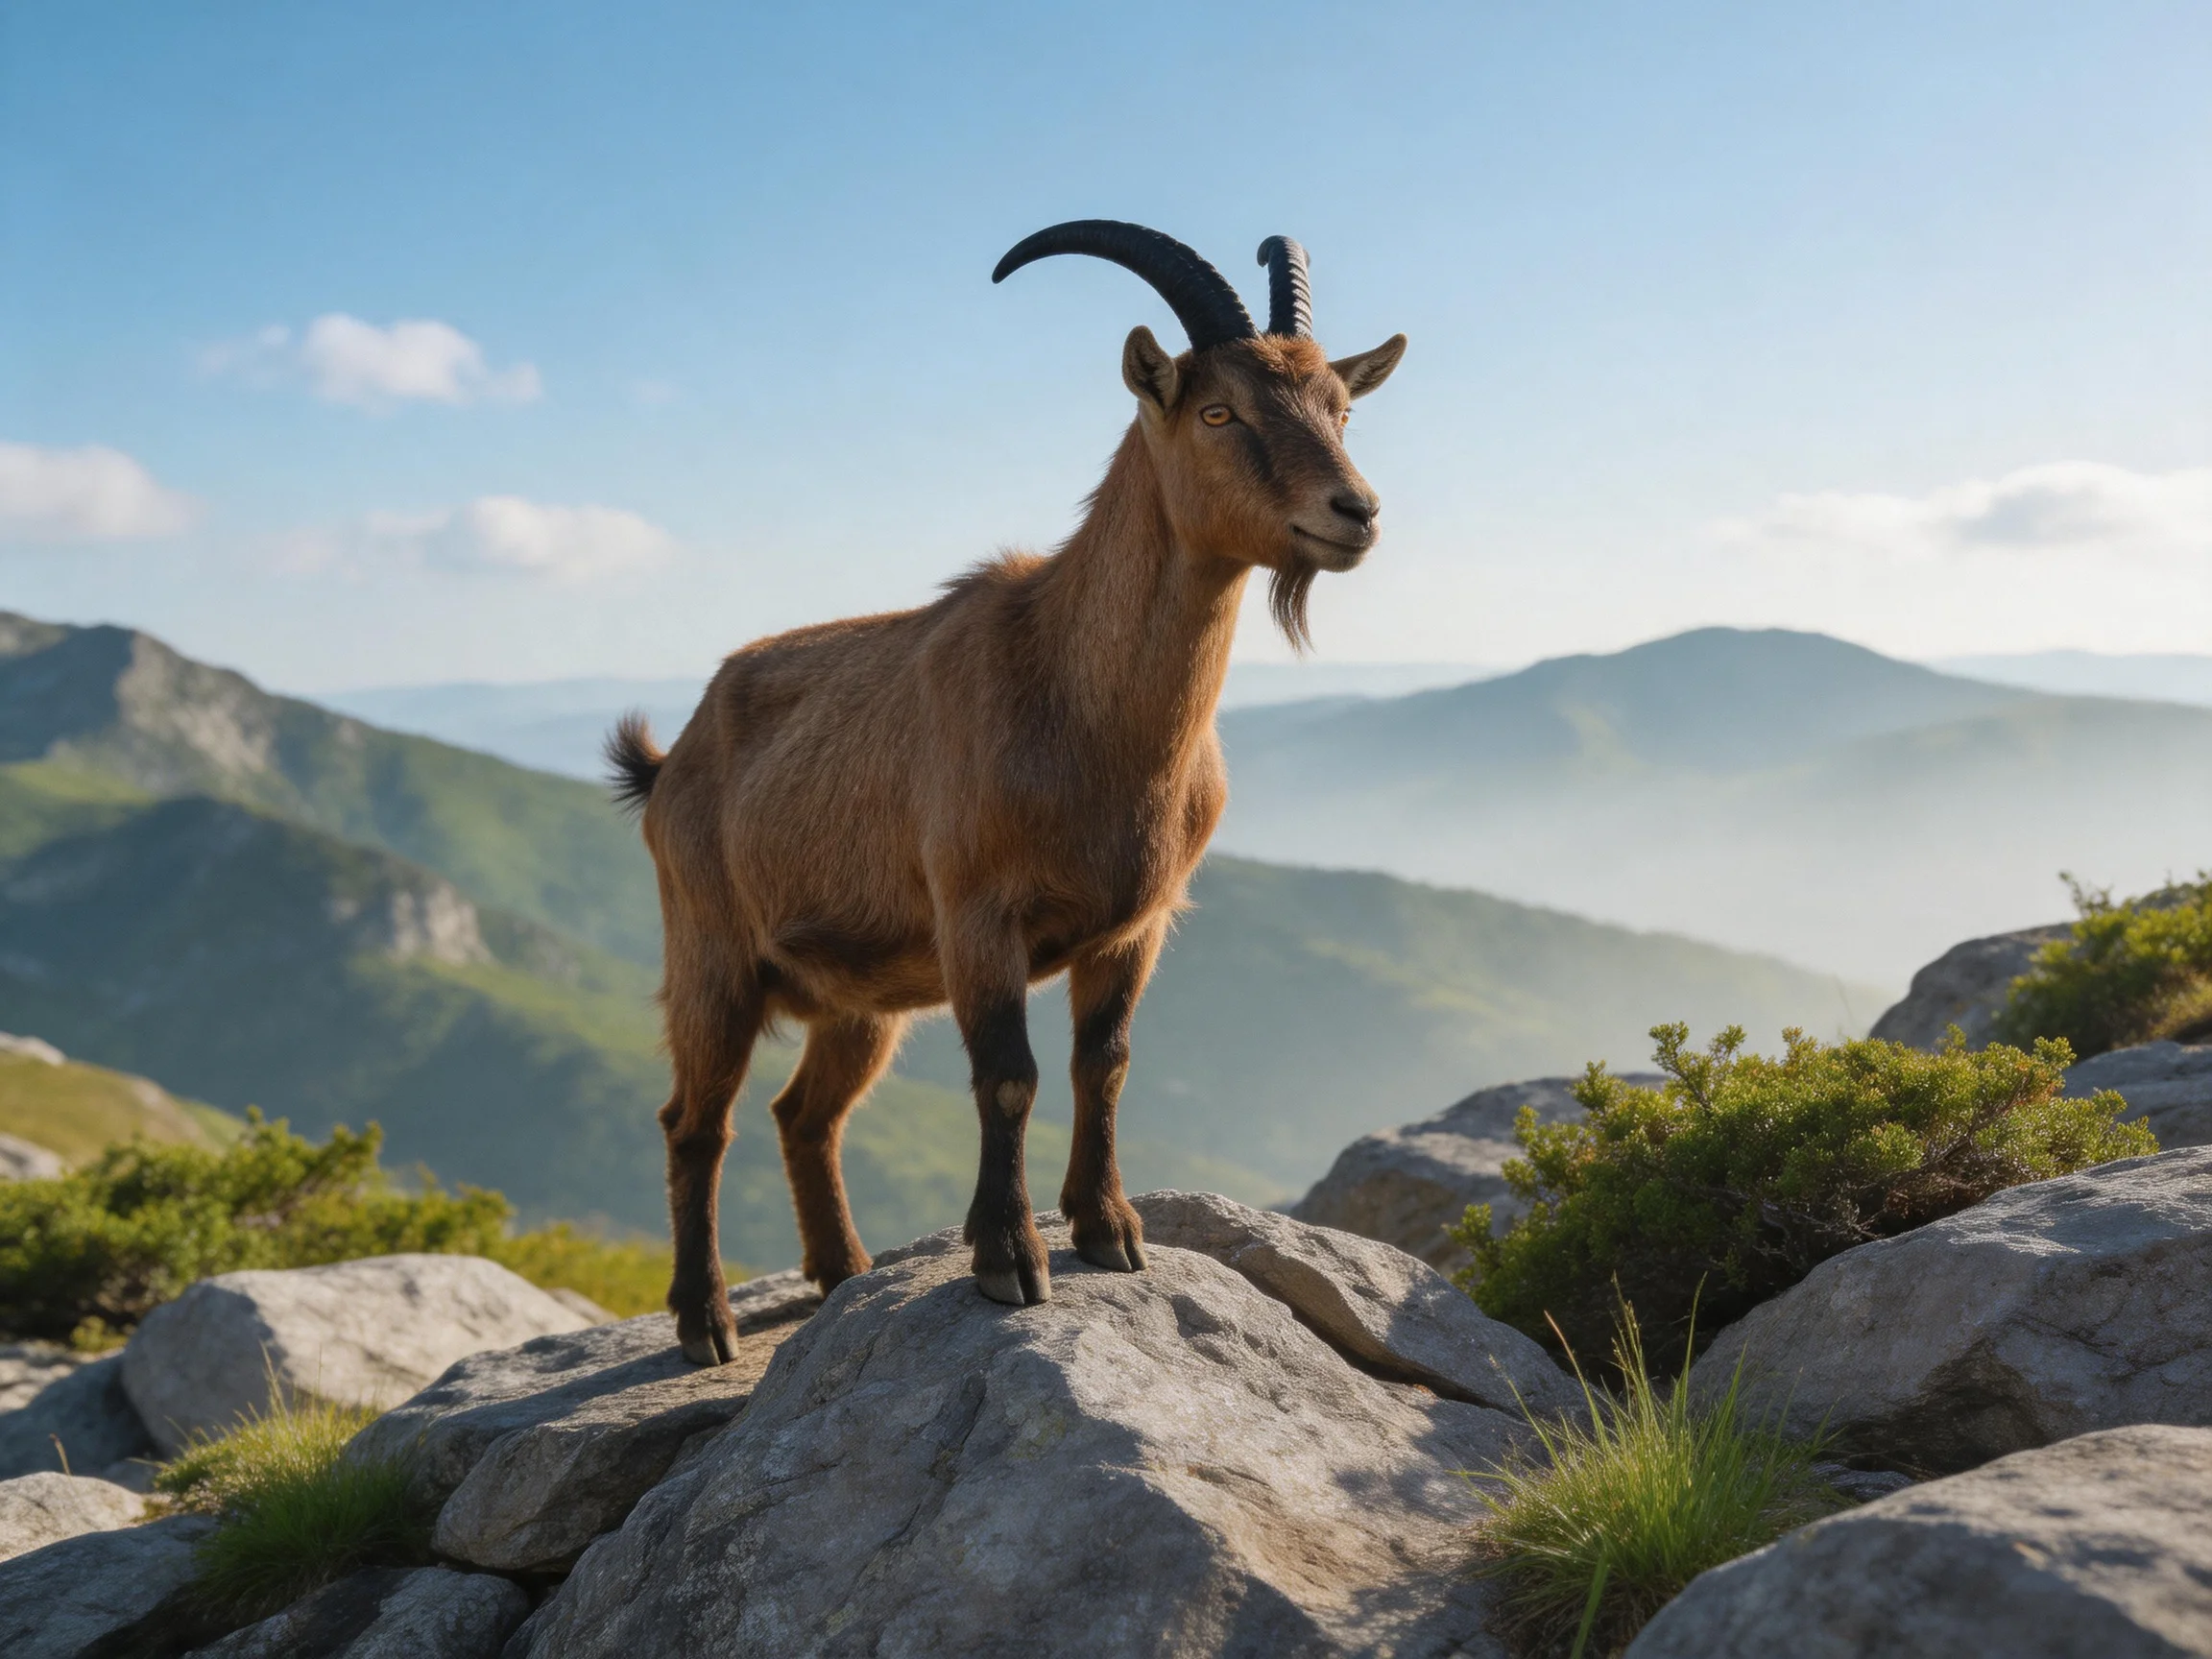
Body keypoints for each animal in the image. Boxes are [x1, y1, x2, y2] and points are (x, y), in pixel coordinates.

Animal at [610, 220, 1405, 1361]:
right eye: (1219, 410)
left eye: (1342, 408)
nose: (1356, 512)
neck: (1082, 703)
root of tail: (669, 762)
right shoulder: (978, 915)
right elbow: (1010, 1075)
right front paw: (1008, 1260)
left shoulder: (1137, 926)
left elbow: (1104, 1060)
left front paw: (1109, 1229)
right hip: (711, 955)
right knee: (695, 1122)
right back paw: (706, 1321)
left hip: (859, 996)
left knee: (805, 1114)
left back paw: (843, 1275)